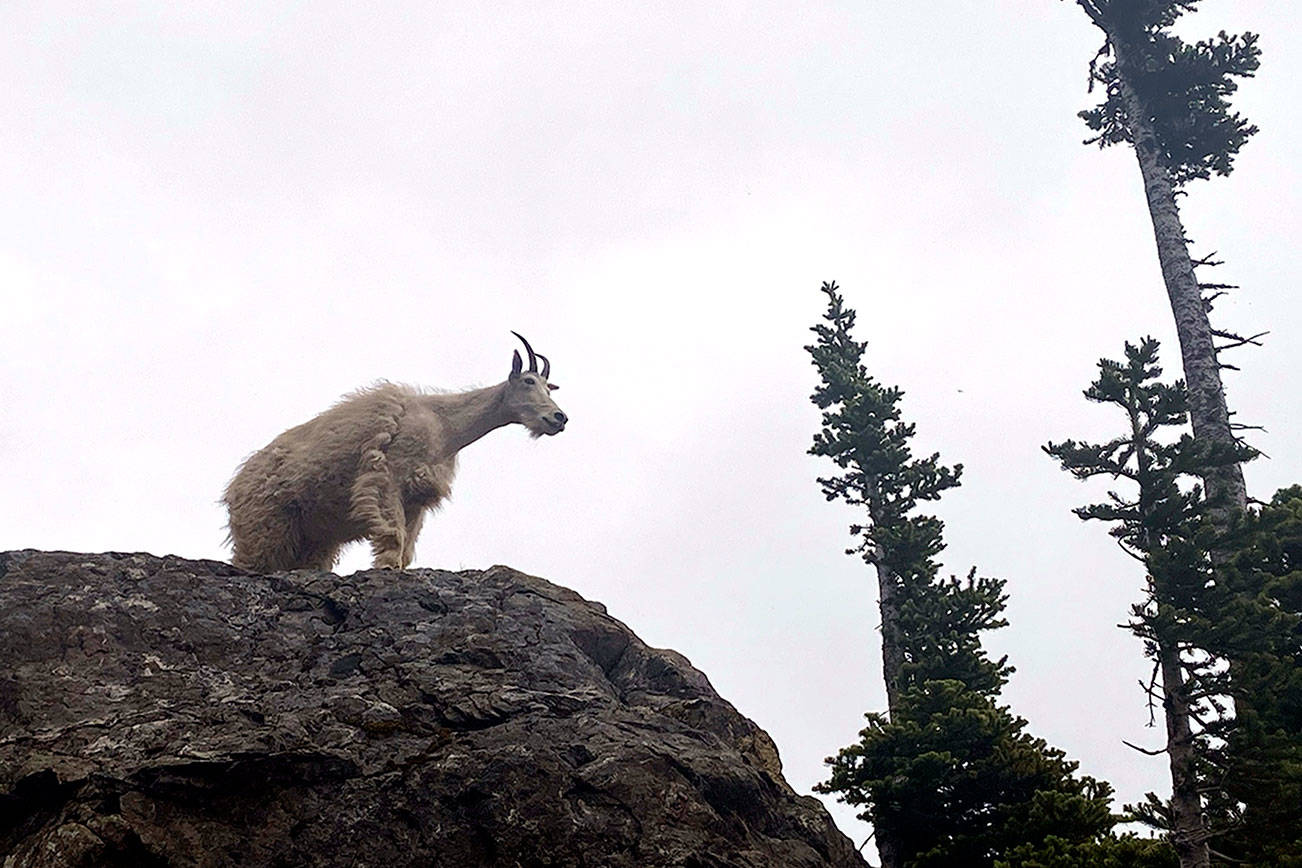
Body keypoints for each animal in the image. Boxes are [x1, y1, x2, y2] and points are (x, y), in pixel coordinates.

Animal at [223, 332, 566, 573]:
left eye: (548, 387)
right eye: (528, 381)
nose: (558, 418)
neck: (444, 426)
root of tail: (233, 487)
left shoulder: (417, 498)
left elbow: (407, 545)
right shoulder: (387, 477)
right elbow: (394, 535)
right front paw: (386, 568)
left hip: (311, 538)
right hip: (265, 524)